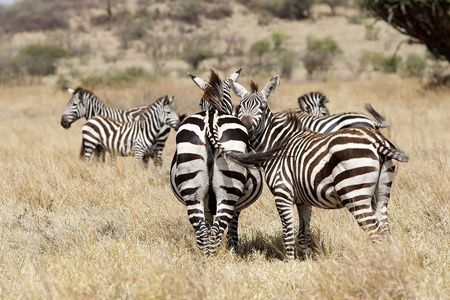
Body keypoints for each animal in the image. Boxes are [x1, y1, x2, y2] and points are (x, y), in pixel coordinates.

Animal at [171, 69, 278, 255]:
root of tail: (210, 120)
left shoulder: (206, 205)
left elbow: (207, 226)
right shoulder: (237, 207)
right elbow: (232, 232)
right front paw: (232, 251)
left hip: (192, 191)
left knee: (202, 231)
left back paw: (205, 260)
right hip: (228, 190)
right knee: (216, 231)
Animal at [230, 75, 410, 260]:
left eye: (263, 107)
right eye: (240, 106)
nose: (245, 126)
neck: (277, 144)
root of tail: (375, 139)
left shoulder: (282, 193)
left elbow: (288, 232)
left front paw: (290, 262)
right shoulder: (303, 200)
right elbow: (303, 235)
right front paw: (307, 261)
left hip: (355, 193)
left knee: (375, 232)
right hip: (382, 192)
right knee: (385, 229)